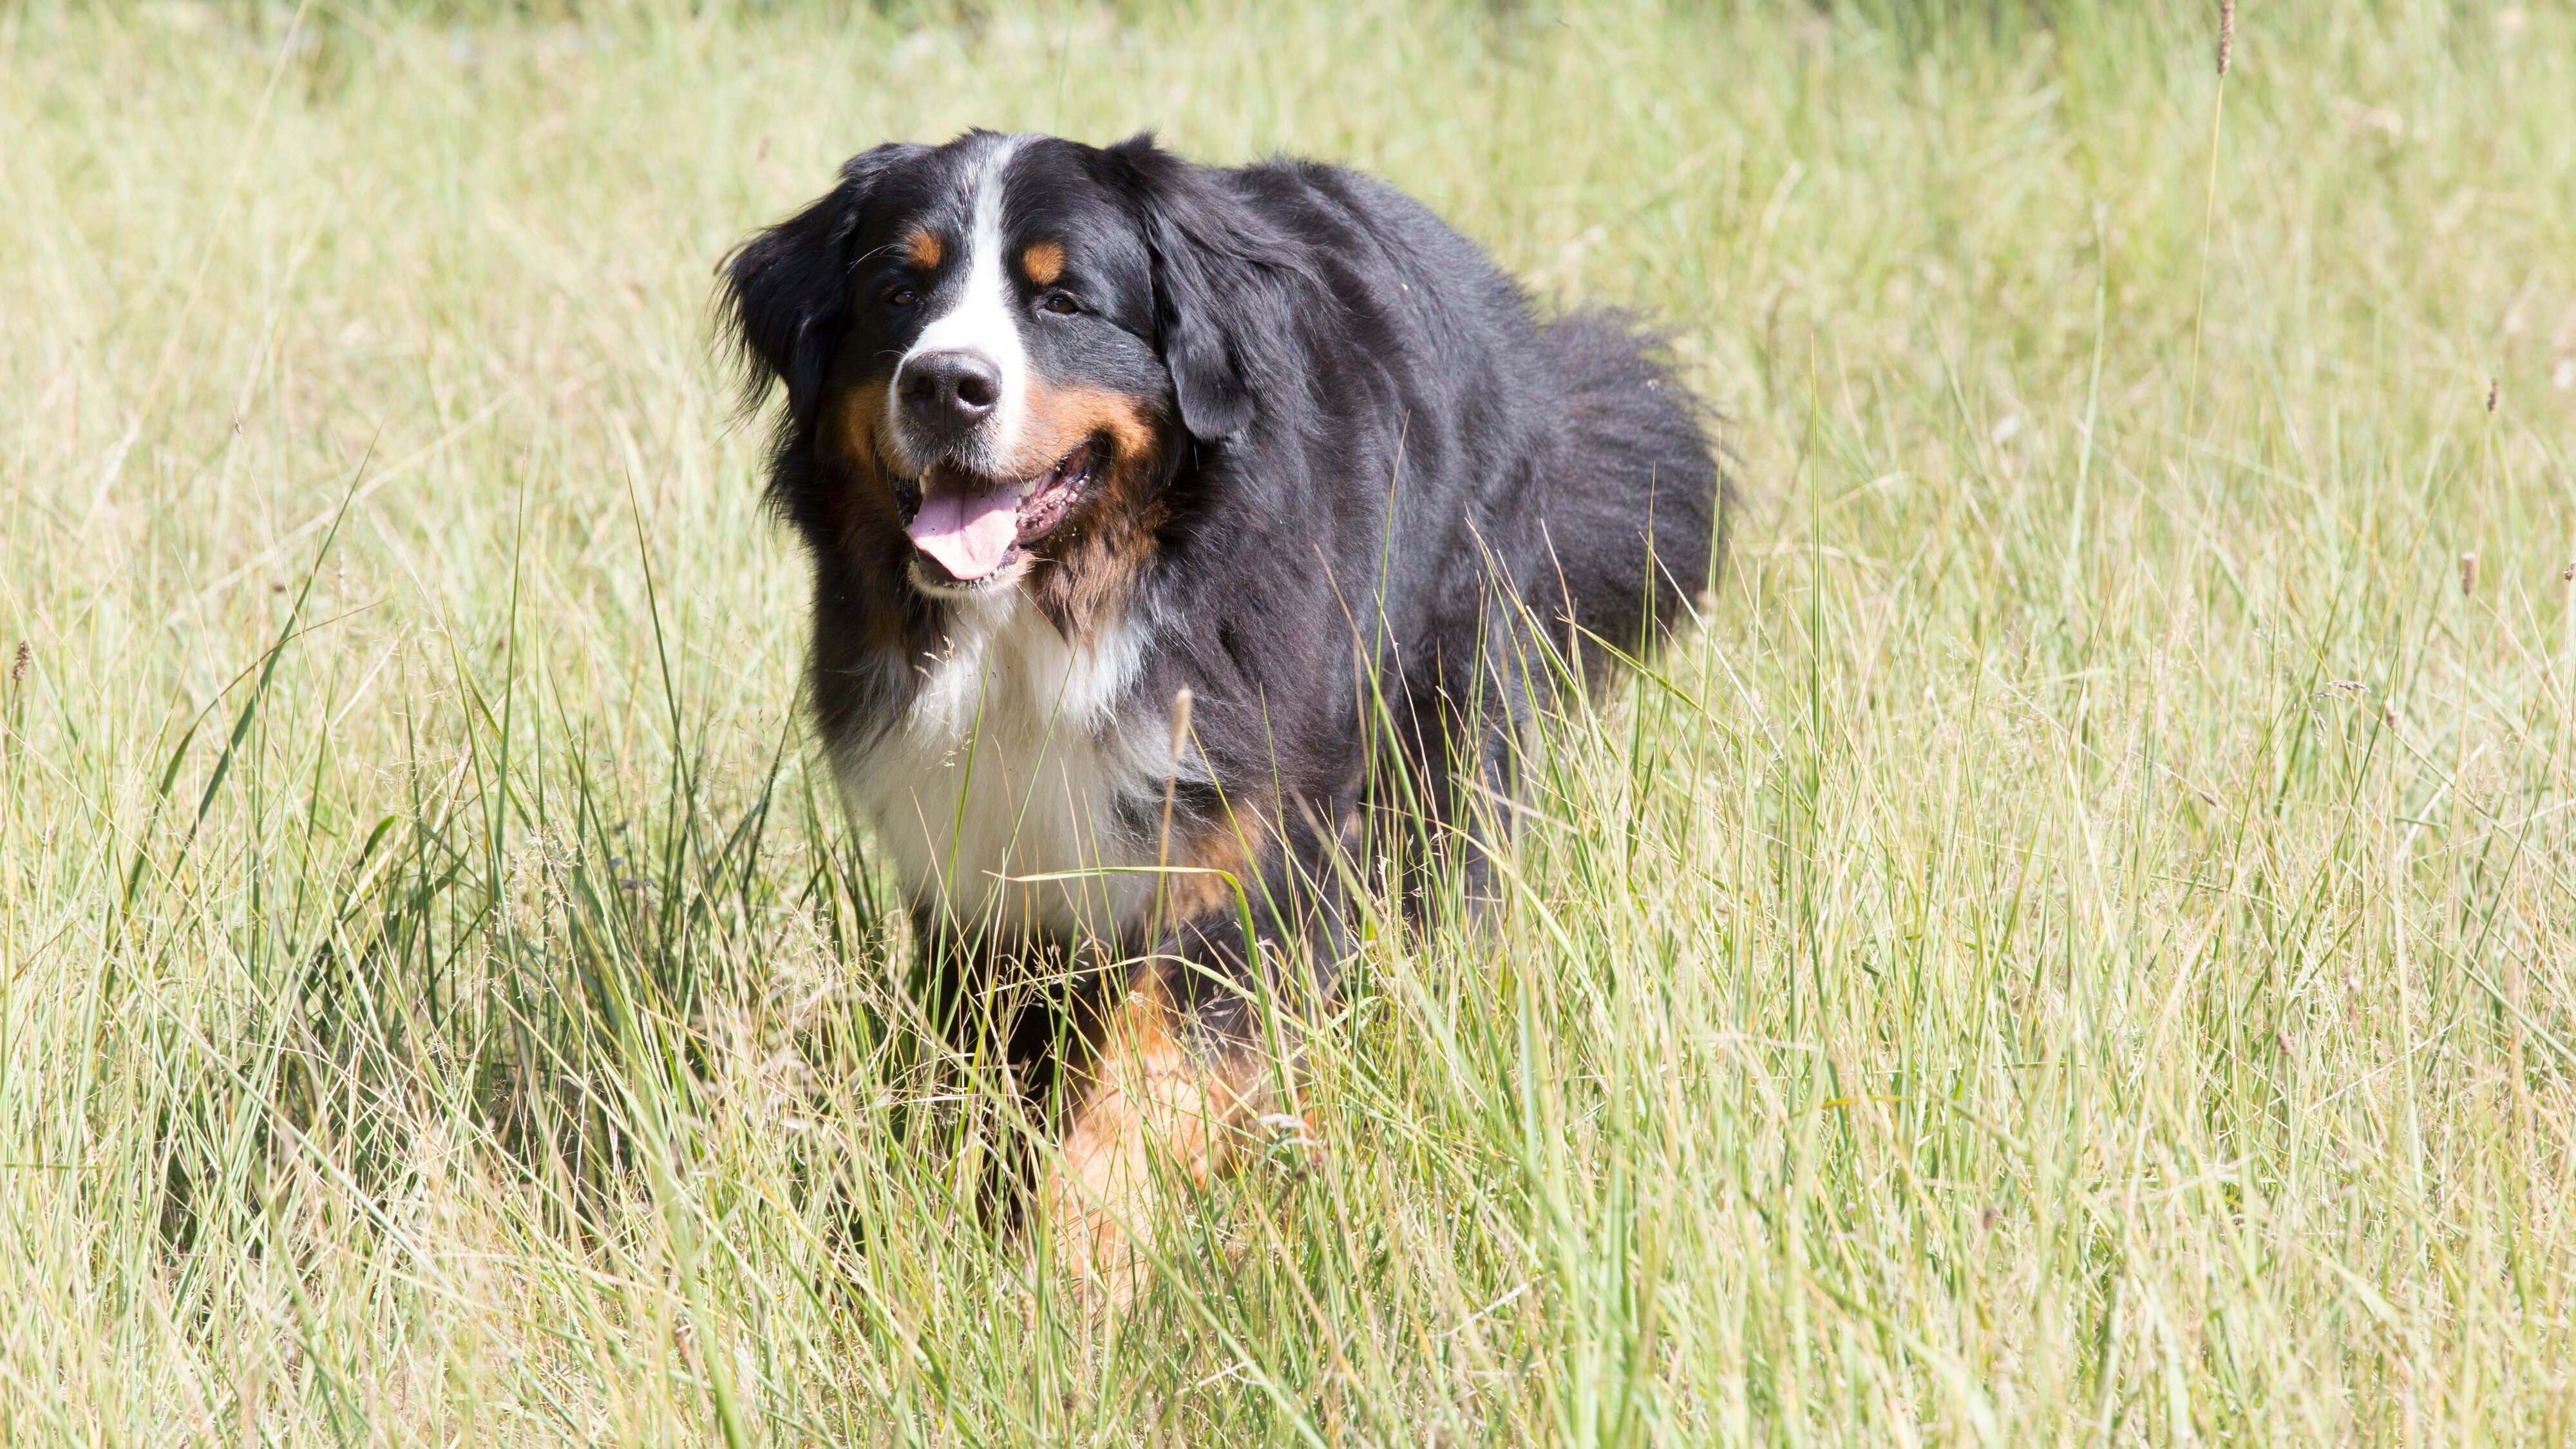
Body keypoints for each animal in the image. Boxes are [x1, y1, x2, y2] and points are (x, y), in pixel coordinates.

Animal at [721, 133, 1731, 1283]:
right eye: (897, 292)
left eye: (1063, 300)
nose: (946, 384)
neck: (1056, 620)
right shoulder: (984, 865)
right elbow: (991, 1078)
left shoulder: (1240, 847)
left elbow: (1149, 1084)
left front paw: (1067, 1278)